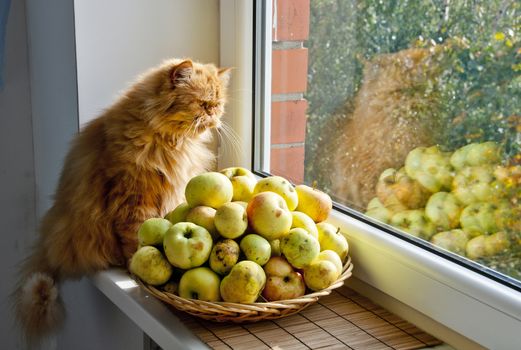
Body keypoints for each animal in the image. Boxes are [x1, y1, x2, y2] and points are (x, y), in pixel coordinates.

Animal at [14, 58, 230, 344]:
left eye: (218, 104)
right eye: (204, 104)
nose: (215, 116)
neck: (168, 140)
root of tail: (48, 241)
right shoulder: (132, 199)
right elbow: (134, 239)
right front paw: (135, 268)